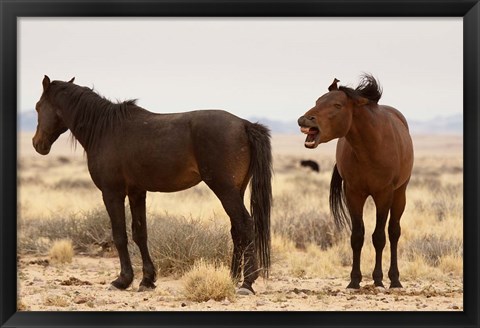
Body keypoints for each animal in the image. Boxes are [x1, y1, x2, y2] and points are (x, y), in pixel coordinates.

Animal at [32, 77, 274, 294]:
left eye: (37, 107)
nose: (37, 144)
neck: (105, 130)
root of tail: (244, 124)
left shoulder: (112, 193)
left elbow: (119, 235)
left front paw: (122, 280)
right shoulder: (137, 192)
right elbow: (140, 233)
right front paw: (147, 280)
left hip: (225, 190)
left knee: (245, 225)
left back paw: (246, 283)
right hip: (236, 190)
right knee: (237, 229)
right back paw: (231, 277)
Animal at [296, 75, 412, 290]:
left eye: (337, 105)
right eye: (317, 101)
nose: (304, 119)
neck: (370, 148)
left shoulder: (384, 194)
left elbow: (379, 237)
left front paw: (378, 278)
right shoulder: (353, 194)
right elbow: (357, 236)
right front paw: (354, 280)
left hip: (400, 194)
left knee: (394, 232)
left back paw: (394, 280)